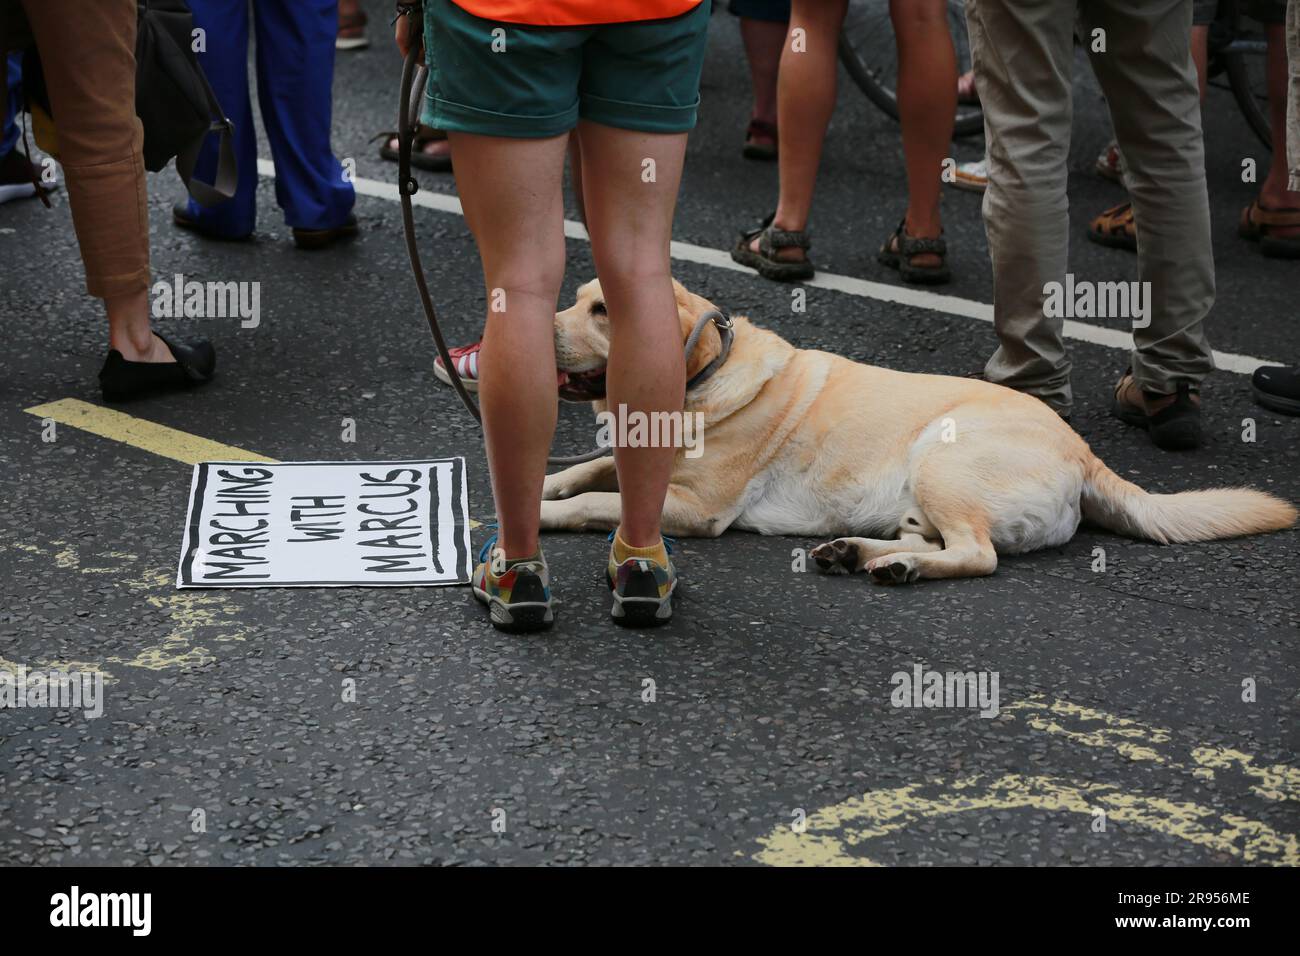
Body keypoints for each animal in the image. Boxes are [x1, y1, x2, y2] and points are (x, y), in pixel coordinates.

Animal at [538, 278, 1289, 582]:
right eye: (578, 299)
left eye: (603, 311)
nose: (539, 328)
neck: (701, 384)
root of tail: (1085, 453)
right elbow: (582, 470)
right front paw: (542, 486)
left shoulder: (698, 510)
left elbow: (596, 501)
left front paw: (543, 515)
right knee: (936, 540)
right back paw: (864, 552)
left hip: (941, 457)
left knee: (978, 556)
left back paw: (893, 566)